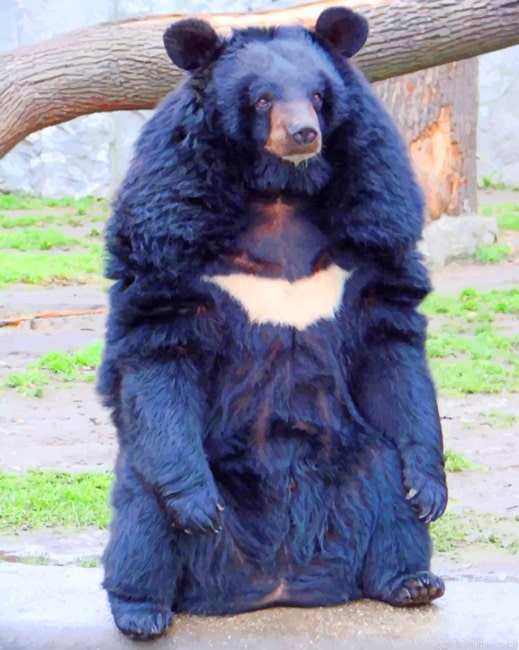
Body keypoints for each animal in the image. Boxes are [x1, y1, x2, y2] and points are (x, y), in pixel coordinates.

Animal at [98, 7, 448, 641]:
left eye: (318, 95)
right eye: (262, 99)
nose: (303, 134)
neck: (280, 190)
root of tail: (274, 585)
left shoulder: (376, 215)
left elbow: (390, 338)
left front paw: (430, 489)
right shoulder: (168, 218)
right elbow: (161, 339)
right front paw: (197, 509)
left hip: (358, 460)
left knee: (389, 494)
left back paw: (411, 581)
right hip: (151, 469)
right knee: (142, 520)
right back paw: (142, 611)